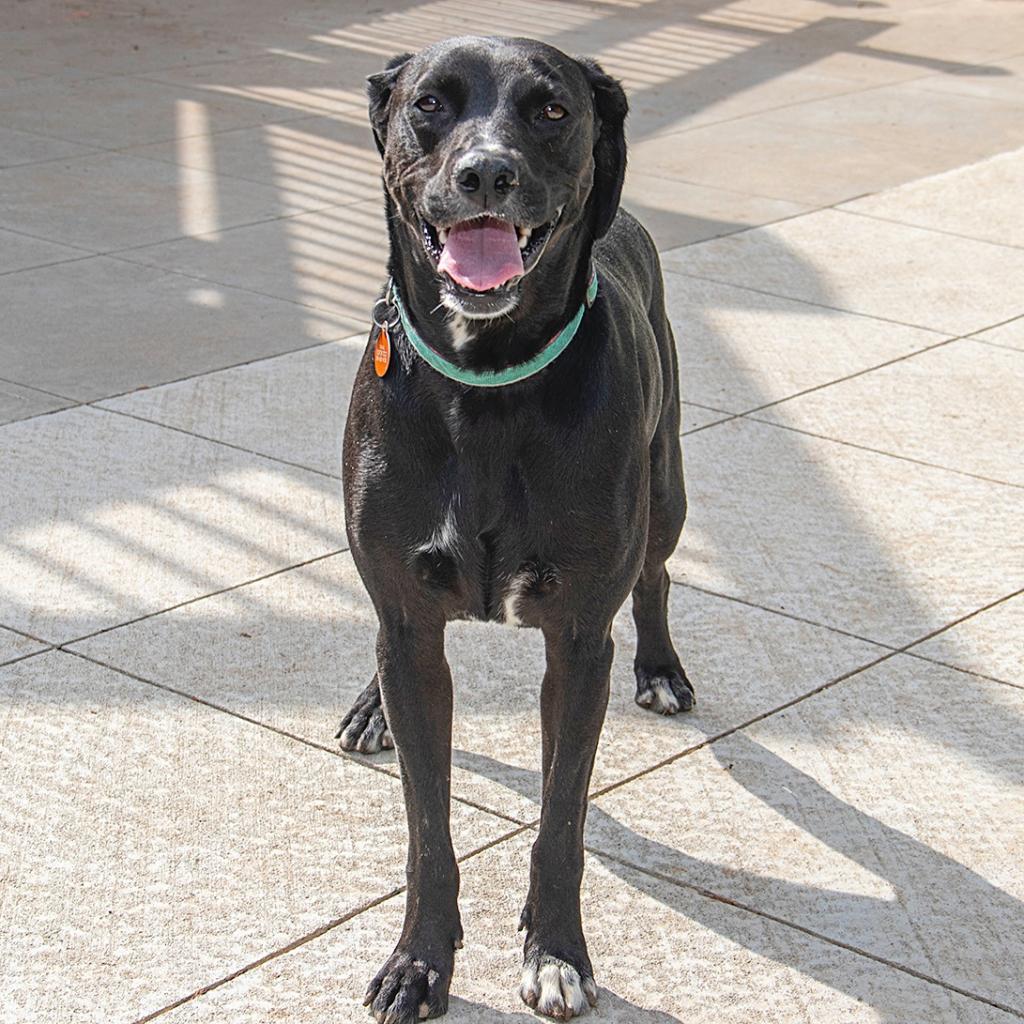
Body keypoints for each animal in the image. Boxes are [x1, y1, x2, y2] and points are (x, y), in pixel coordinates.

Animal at [339, 36, 692, 1019]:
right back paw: (368, 705)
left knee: (656, 575)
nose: (487, 172)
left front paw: (557, 950)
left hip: (667, 487)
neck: (487, 385)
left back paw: (662, 668)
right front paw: (419, 961)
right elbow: (427, 826)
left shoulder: (578, 643)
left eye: (552, 111)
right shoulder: (411, 627)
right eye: (429, 103)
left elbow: (560, 818)